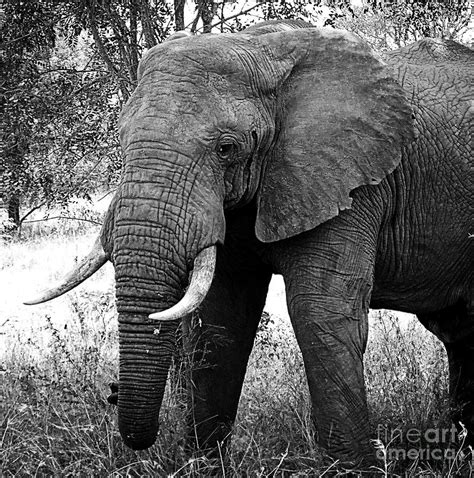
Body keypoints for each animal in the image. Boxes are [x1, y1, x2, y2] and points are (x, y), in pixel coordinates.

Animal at [27, 18, 472, 466]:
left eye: (227, 148)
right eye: (120, 137)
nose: (112, 393)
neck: (266, 46)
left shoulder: (352, 181)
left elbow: (319, 313)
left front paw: (355, 468)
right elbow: (221, 318)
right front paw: (205, 464)